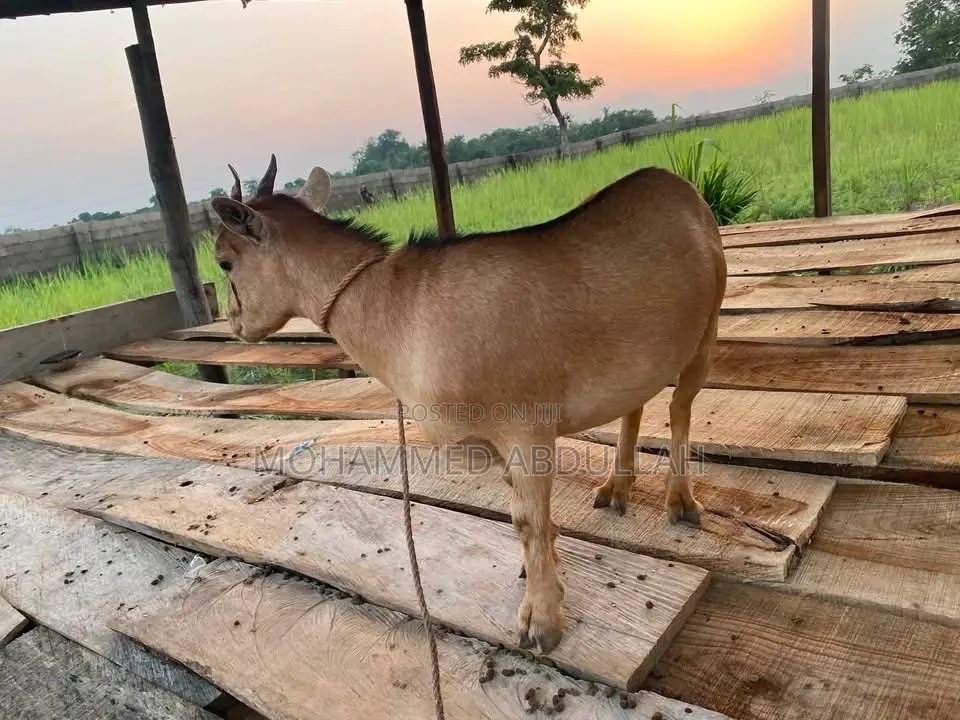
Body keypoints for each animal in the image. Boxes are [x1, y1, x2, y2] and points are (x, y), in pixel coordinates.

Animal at [209, 154, 726, 654]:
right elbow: (527, 518)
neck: (399, 310)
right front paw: (546, 575)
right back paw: (616, 489)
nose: (236, 323)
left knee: (680, 406)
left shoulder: (526, 426)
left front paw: (541, 623)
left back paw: (681, 503)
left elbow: (527, 521)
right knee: (635, 403)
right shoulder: (495, 440)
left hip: (708, 326)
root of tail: (678, 187)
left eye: (224, 262)